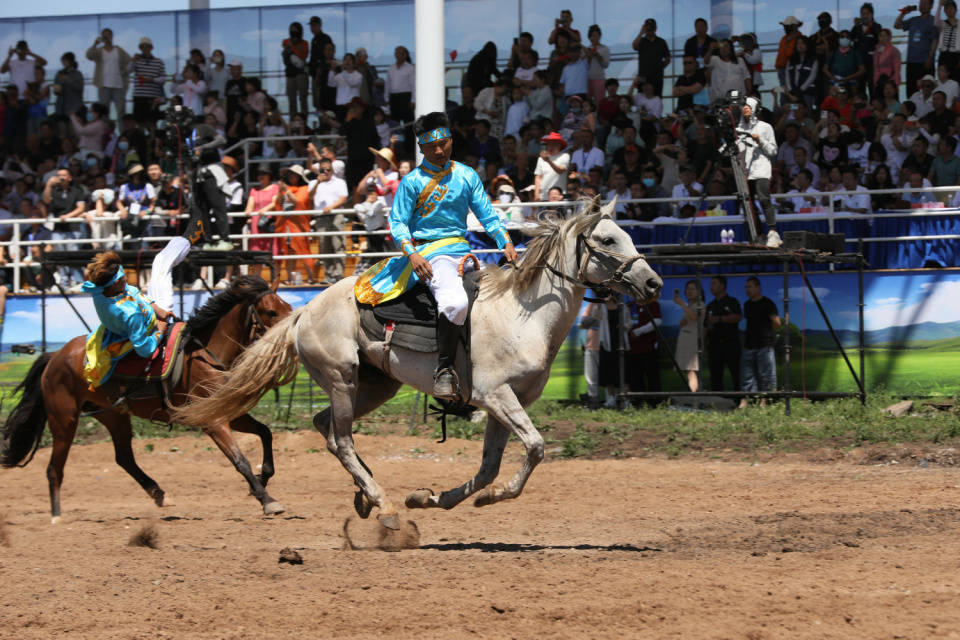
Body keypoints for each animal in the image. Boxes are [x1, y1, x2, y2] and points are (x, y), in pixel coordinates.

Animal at [0, 275, 292, 523]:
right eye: (271, 311)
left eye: (288, 306)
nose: (291, 334)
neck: (205, 353)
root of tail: (56, 357)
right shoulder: (213, 421)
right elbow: (240, 460)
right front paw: (267, 499)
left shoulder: (231, 413)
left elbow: (265, 433)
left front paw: (262, 480)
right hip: (64, 420)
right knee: (54, 467)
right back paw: (57, 516)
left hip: (112, 416)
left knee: (124, 458)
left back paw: (159, 494)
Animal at [173, 200, 662, 530]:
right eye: (607, 239)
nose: (654, 282)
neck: (521, 314)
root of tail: (304, 311)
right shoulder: (496, 396)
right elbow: (536, 448)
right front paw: (488, 497)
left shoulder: (506, 405)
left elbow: (490, 466)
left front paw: (435, 499)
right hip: (343, 380)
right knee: (341, 439)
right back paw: (379, 500)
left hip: (375, 386)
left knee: (325, 426)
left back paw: (366, 495)